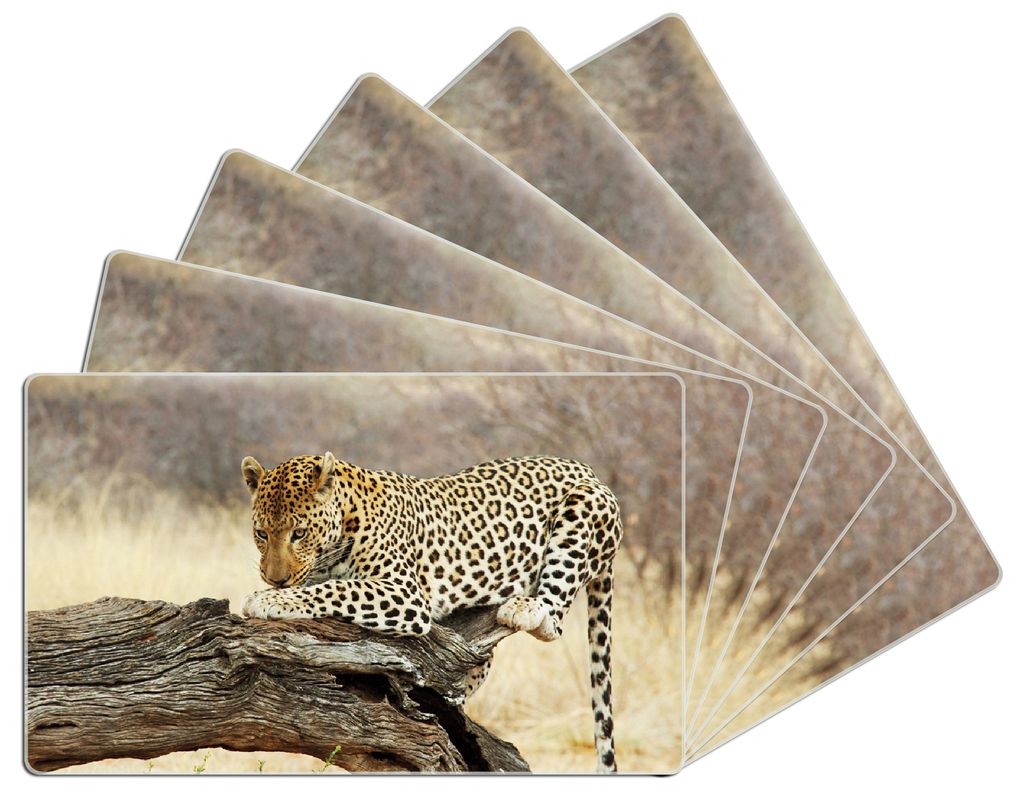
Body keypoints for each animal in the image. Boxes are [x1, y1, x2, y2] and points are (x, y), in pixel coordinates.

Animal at [239, 451, 623, 772]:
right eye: (261, 533)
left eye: (299, 533)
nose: (274, 578)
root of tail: (587, 469)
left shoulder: (404, 592)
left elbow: (337, 589)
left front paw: (268, 600)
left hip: (583, 507)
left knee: (553, 621)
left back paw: (524, 608)